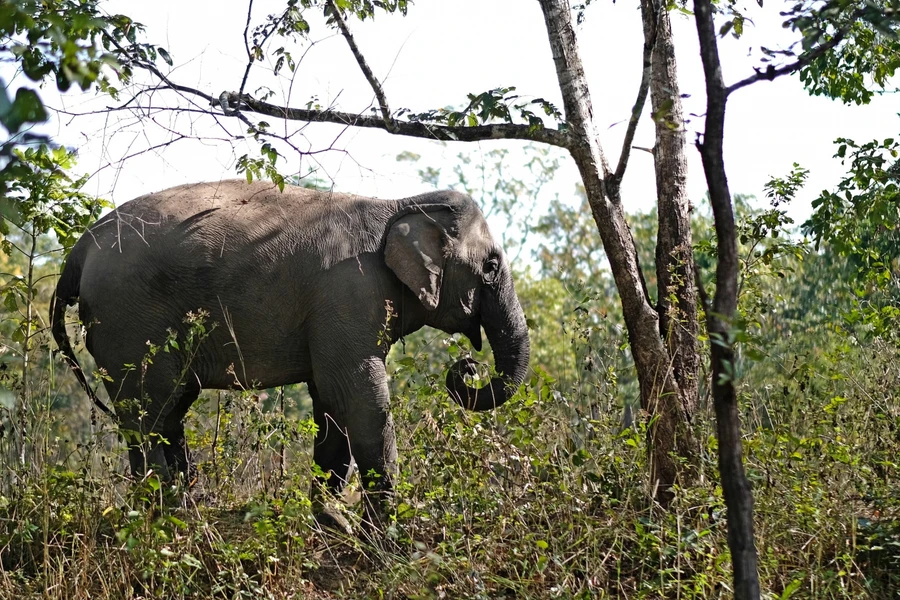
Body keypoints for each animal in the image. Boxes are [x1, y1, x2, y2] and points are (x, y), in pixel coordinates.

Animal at [51, 179, 528, 524]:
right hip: (129, 322)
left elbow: (331, 402)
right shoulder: (349, 292)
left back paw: (181, 506)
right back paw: (165, 514)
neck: (401, 203)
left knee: (167, 409)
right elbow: (360, 398)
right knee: (149, 412)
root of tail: (78, 251)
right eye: (491, 265)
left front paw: (333, 522)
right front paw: (386, 537)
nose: (466, 366)